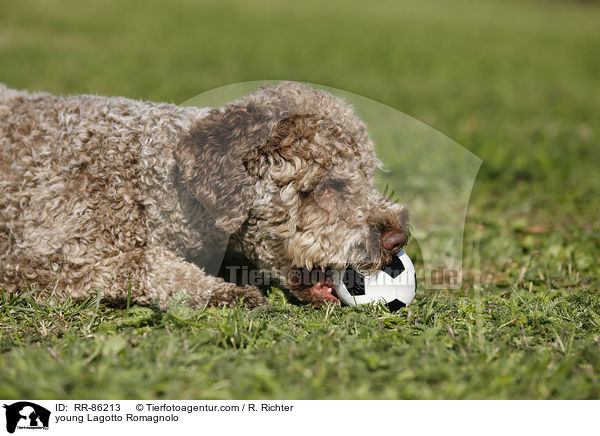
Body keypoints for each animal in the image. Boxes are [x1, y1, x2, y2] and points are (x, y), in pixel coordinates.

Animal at [0, 81, 408, 306]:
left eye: (368, 176)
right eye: (326, 187)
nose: (397, 237)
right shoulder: (29, 262)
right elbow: (141, 262)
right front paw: (220, 292)